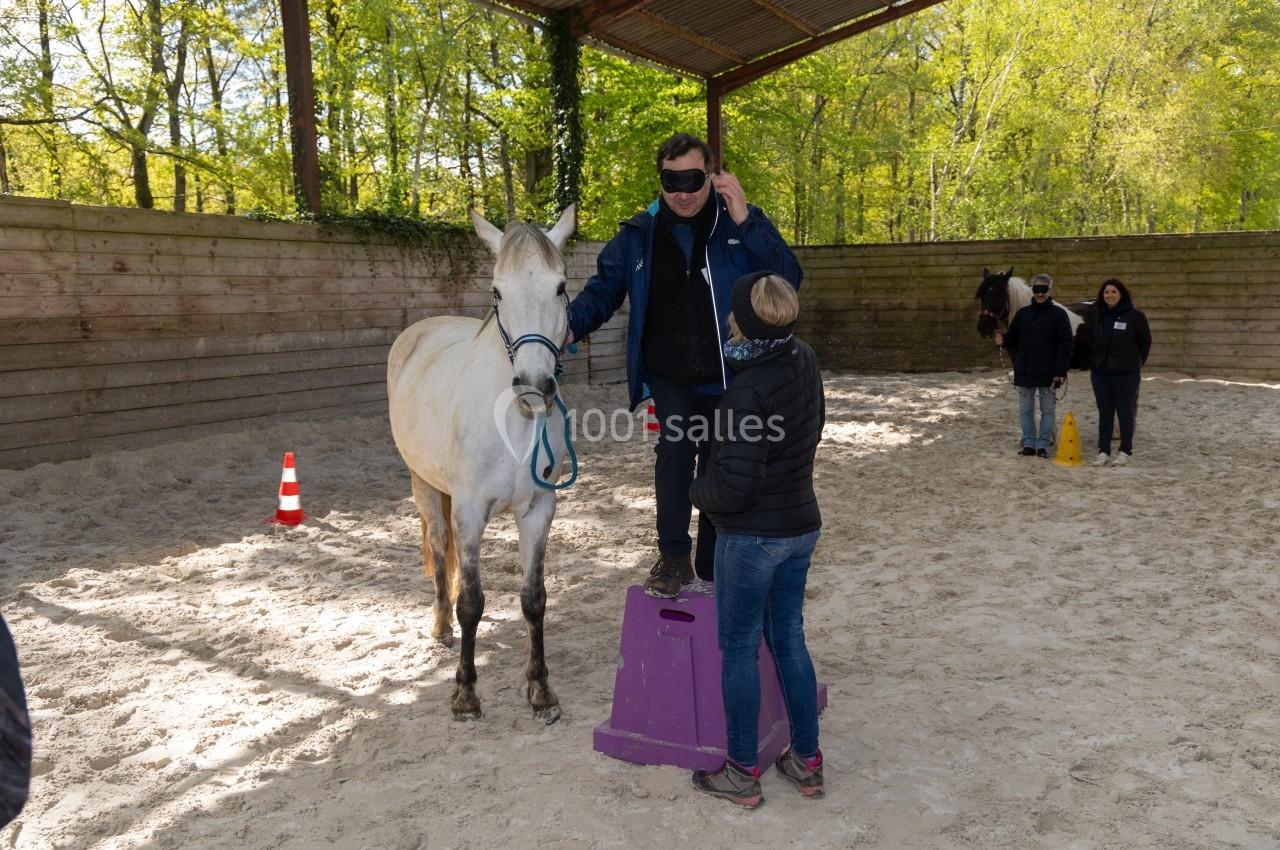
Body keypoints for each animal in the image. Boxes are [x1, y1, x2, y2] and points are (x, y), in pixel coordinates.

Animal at [387, 206, 576, 723]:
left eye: (560, 286)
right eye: (497, 291)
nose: (534, 384)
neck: (515, 422)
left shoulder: (538, 512)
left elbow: (534, 600)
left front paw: (541, 690)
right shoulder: (470, 512)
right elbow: (471, 602)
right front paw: (466, 694)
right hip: (425, 486)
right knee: (438, 547)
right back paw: (440, 626)